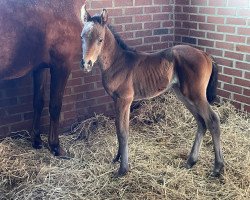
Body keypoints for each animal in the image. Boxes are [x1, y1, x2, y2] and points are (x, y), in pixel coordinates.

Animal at [80, 5, 225, 177]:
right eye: (82, 37)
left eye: (100, 39)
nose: (86, 64)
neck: (118, 62)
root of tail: (205, 54)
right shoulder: (116, 100)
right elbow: (118, 128)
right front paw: (117, 158)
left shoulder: (124, 100)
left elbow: (123, 132)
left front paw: (122, 169)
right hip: (183, 94)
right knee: (201, 122)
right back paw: (191, 161)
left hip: (196, 95)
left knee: (212, 120)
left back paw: (217, 167)